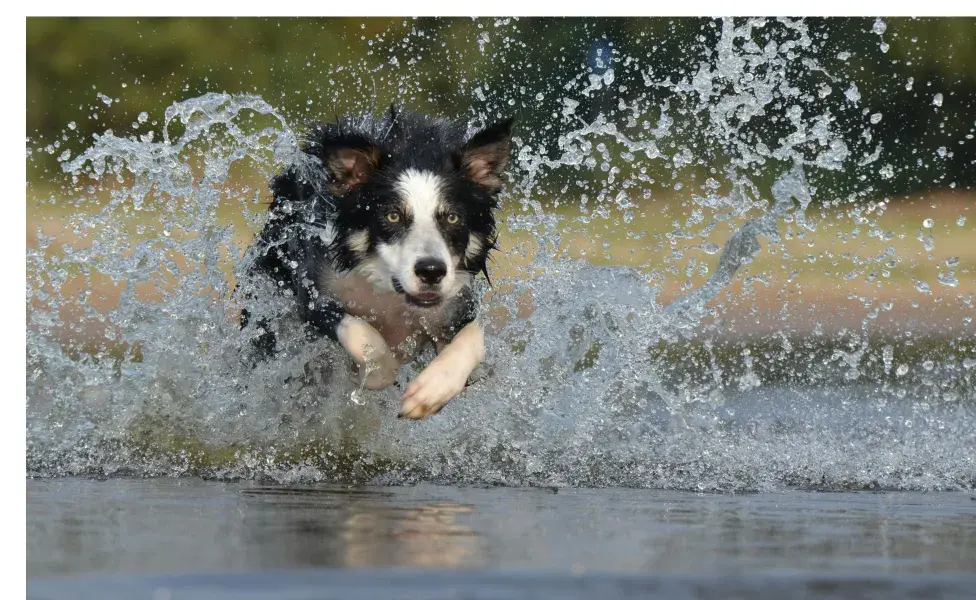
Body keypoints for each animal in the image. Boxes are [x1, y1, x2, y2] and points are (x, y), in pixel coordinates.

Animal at [240, 105, 516, 420]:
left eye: (452, 217)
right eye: (392, 216)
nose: (431, 271)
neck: (389, 293)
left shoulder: (456, 304)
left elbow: (473, 339)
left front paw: (431, 391)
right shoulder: (314, 293)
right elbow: (363, 335)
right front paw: (374, 373)